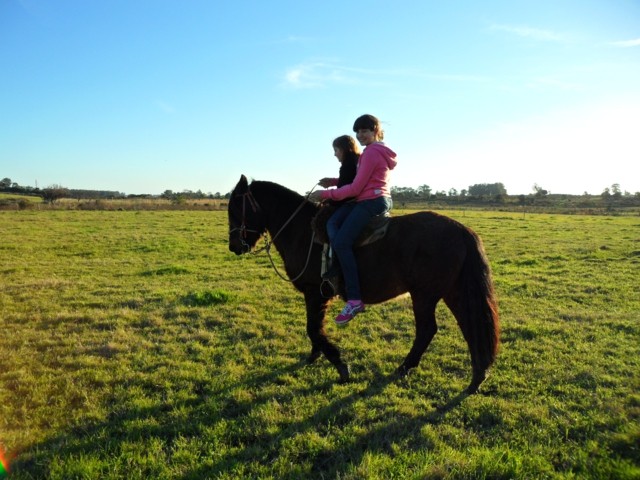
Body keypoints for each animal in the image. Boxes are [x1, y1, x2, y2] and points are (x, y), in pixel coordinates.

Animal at [226, 174, 500, 392]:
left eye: (235, 209)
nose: (234, 246)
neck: (302, 231)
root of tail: (461, 230)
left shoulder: (315, 293)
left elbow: (313, 328)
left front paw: (339, 365)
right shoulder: (314, 295)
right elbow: (315, 328)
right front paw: (315, 355)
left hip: (425, 294)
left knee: (427, 330)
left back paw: (405, 367)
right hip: (451, 292)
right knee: (470, 327)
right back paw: (478, 376)